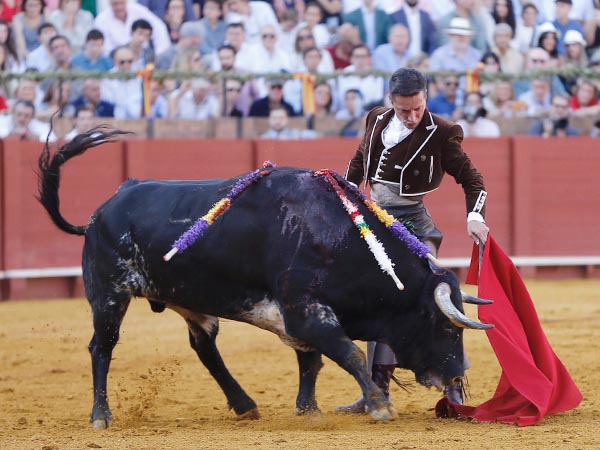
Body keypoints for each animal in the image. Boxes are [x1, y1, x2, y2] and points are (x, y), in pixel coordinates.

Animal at [36, 129, 492, 428]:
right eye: (446, 328)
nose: (457, 377)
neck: (336, 234)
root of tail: (103, 209)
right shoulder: (304, 309)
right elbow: (348, 353)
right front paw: (379, 405)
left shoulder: (300, 316)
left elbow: (312, 360)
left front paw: (308, 410)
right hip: (108, 293)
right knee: (102, 347)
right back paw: (101, 416)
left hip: (190, 301)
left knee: (205, 348)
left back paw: (244, 405)